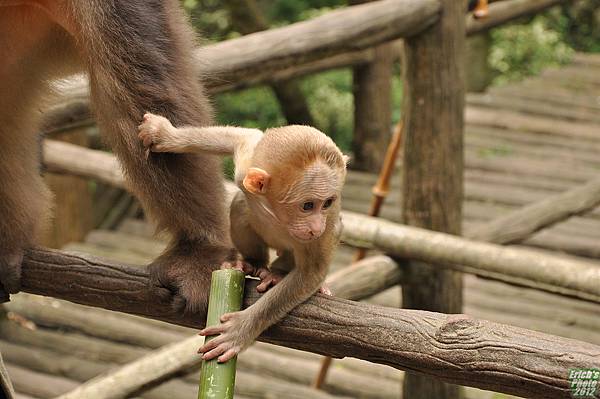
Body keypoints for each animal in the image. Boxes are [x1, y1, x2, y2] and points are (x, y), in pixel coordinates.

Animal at [138, 112, 346, 362]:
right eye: (307, 206)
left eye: (327, 203)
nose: (316, 226)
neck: (276, 211)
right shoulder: (247, 164)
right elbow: (243, 136)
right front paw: (164, 134)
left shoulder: (323, 229)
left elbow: (311, 272)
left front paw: (242, 328)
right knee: (240, 204)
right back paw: (253, 263)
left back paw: (278, 272)